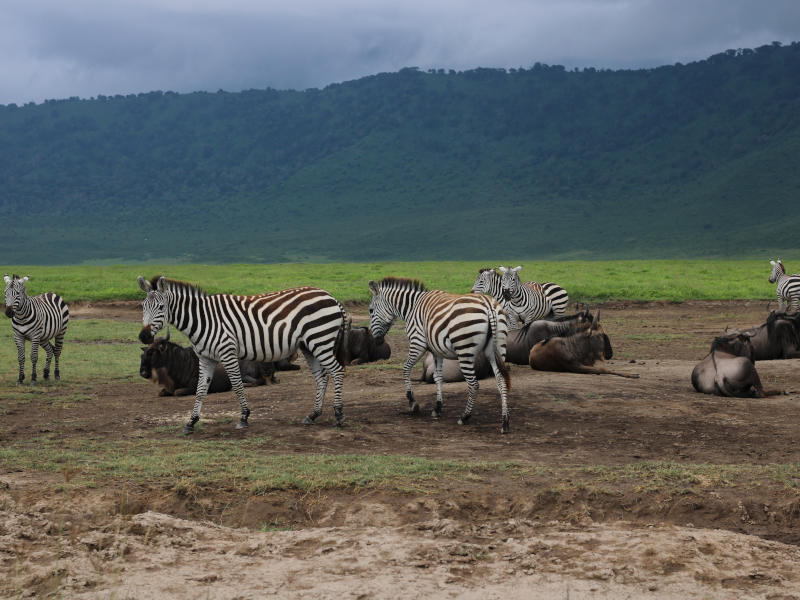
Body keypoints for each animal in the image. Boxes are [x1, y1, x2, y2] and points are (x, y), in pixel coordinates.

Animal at [138, 274, 350, 434]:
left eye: (161, 307)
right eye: (143, 306)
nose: (143, 336)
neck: (203, 319)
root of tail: (330, 296)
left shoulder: (228, 353)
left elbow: (238, 385)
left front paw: (244, 417)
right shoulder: (206, 358)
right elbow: (200, 390)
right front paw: (191, 422)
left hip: (320, 340)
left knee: (337, 371)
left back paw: (339, 414)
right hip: (309, 346)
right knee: (322, 377)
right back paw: (313, 414)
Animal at [368, 274, 512, 434]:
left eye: (371, 310)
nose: (376, 340)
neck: (411, 307)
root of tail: (488, 304)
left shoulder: (417, 343)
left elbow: (406, 369)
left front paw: (413, 403)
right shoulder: (437, 350)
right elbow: (438, 377)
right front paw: (437, 407)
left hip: (465, 350)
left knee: (474, 384)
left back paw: (464, 417)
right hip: (497, 349)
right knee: (501, 381)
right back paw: (505, 422)